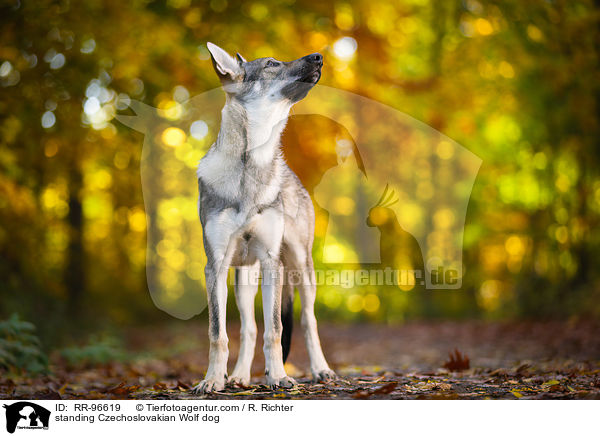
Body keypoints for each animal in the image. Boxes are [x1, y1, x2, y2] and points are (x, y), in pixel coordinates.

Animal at [192, 44, 336, 396]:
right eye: (271, 64)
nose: (318, 56)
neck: (253, 164)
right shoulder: (215, 266)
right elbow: (218, 333)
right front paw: (212, 380)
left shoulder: (273, 262)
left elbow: (275, 328)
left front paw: (278, 377)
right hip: (244, 280)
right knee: (248, 329)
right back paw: (239, 376)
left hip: (300, 268)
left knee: (308, 321)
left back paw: (320, 369)